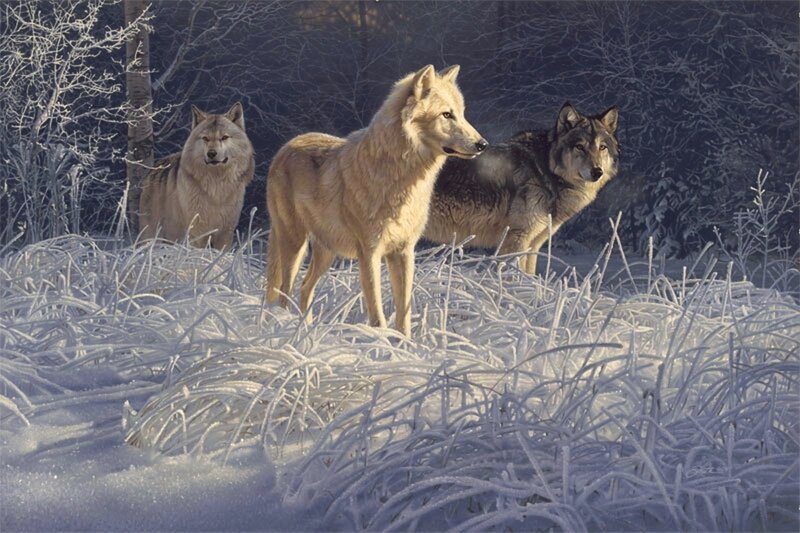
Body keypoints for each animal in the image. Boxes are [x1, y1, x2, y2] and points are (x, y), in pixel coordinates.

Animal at [138, 102, 255, 251]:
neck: (216, 184)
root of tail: (155, 167)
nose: (212, 153)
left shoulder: (225, 233)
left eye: (224, 137)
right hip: (154, 234)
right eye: (205, 138)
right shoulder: (197, 232)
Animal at [265, 65, 487, 335]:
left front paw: (405, 343)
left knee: (305, 287)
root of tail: (286, 146)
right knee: (284, 292)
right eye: (447, 115)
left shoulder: (404, 252)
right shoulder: (369, 253)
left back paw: (305, 330)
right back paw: (286, 328)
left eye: (462, 114)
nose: (483, 144)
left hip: (326, 253)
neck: (402, 182)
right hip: (294, 245)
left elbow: (404, 312)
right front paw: (380, 340)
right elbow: (377, 313)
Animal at [425, 102, 619, 275]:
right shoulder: (517, 238)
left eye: (602, 147)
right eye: (580, 147)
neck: (546, 170)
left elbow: (529, 275)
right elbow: (515, 274)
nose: (597, 172)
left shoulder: (534, 243)